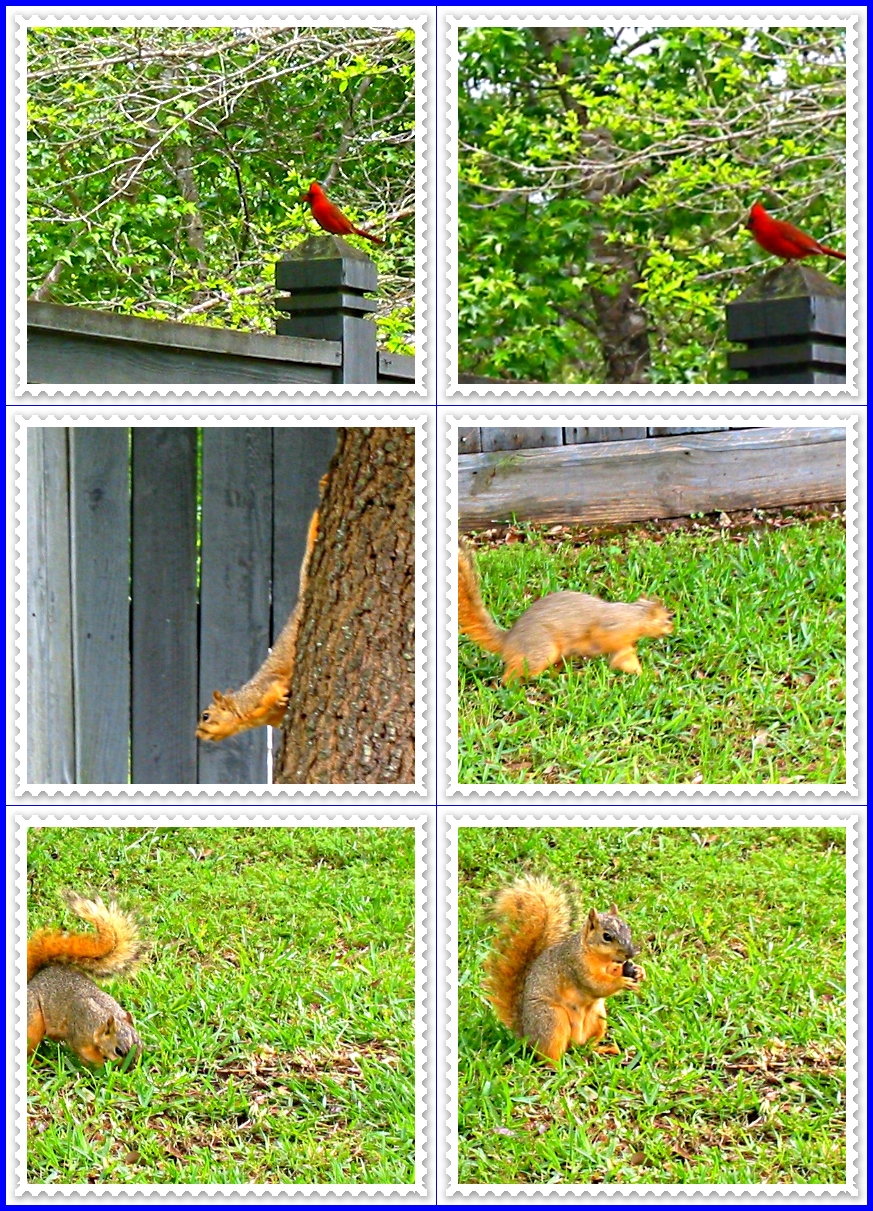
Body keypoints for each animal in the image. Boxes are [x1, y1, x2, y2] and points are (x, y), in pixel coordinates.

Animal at [27, 890, 144, 1067]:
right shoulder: (80, 1034)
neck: (100, 1021)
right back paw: (37, 1063)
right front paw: (101, 1068)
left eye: (141, 1047)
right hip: (33, 1019)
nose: (130, 1069)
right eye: (118, 1051)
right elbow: (85, 1054)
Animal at [196, 506, 320, 742]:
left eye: (206, 716)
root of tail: (301, 602)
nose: (197, 734)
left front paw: (279, 697)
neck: (246, 715)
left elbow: (274, 686)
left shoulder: (261, 690)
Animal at [458, 545, 672, 683]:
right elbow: (598, 636)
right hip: (540, 651)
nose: (673, 629)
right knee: (513, 674)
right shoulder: (612, 627)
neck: (635, 616)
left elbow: (627, 661)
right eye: (667, 619)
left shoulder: (623, 645)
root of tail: (509, 640)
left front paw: (646, 675)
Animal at [483, 876, 644, 1066]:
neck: (595, 955)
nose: (630, 953)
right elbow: (595, 985)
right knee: (549, 1054)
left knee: (584, 1046)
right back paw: (559, 1067)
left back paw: (601, 1049)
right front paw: (621, 981)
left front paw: (639, 971)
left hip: (598, 1019)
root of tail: (527, 1036)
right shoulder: (575, 966)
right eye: (607, 936)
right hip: (552, 1020)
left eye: (629, 930)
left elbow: (613, 972)